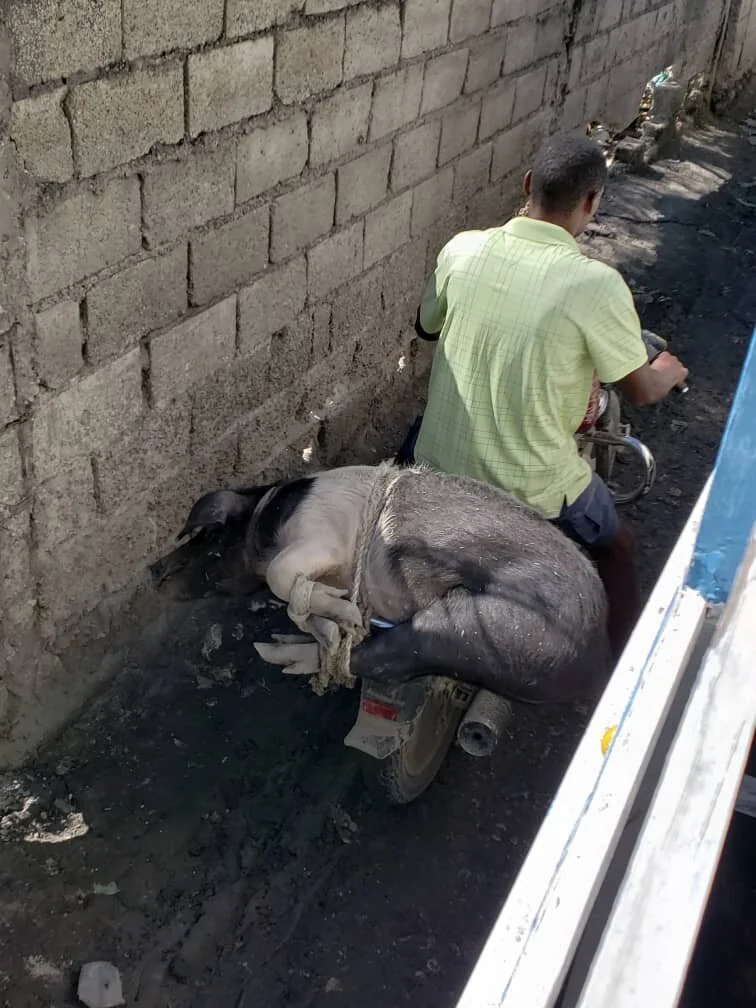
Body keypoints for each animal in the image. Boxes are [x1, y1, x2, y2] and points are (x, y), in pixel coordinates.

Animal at [150, 463, 612, 704]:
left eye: (205, 538)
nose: (154, 571)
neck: (266, 513)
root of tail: (594, 658)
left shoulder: (319, 539)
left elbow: (283, 577)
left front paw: (343, 611)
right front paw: (328, 616)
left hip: (487, 627)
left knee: (382, 660)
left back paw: (277, 650)